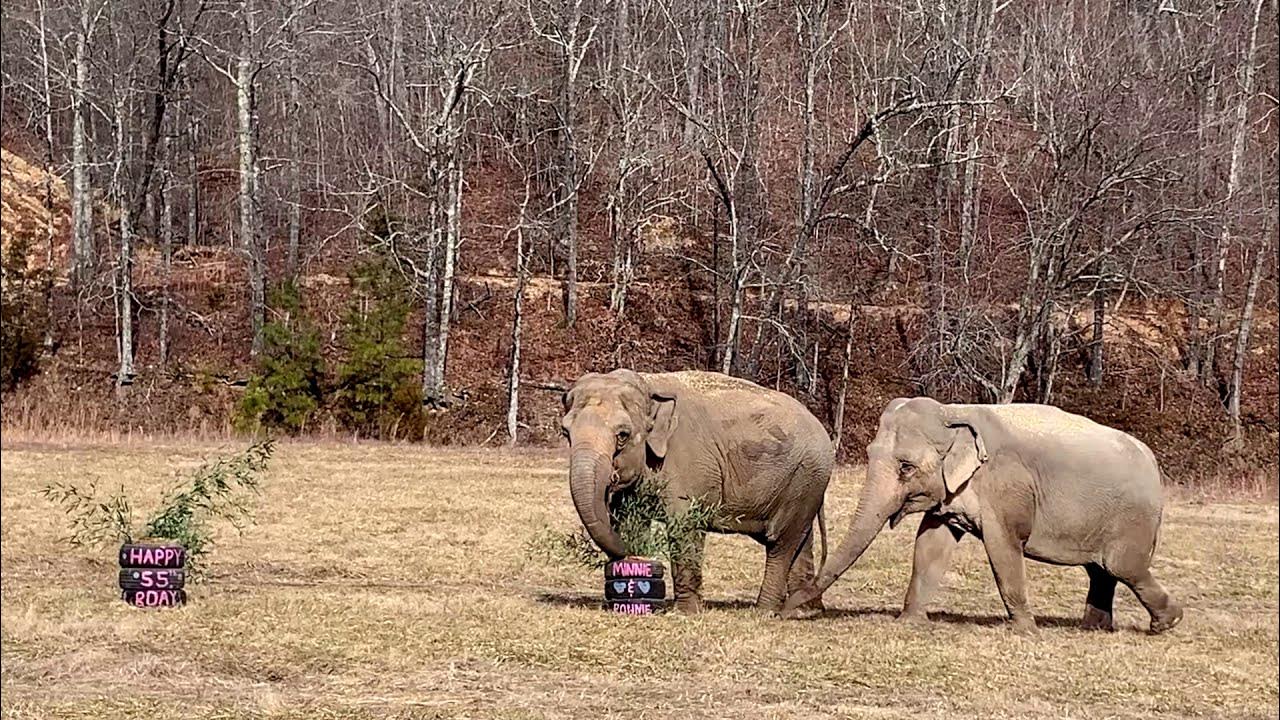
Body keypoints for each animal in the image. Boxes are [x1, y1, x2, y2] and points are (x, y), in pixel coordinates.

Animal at [565, 368, 834, 609]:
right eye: (565, 432)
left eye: (622, 435)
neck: (649, 384)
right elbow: (631, 521)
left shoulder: (689, 463)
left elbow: (683, 524)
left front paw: (685, 611)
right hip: (803, 485)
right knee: (802, 540)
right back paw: (802, 610)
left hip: (805, 478)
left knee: (780, 542)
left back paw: (764, 610)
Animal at [783, 392, 1182, 632]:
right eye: (868, 453)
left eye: (906, 467)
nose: (786, 610)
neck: (954, 412)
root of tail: (1153, 461)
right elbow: (931, 543)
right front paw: (909, 622)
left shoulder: (1005, 488)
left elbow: (1003, 546)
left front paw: (1024, 630)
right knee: (1101, 572)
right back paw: (1094, 628)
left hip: (1132, 520)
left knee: (1122, 567)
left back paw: (1167, 623)